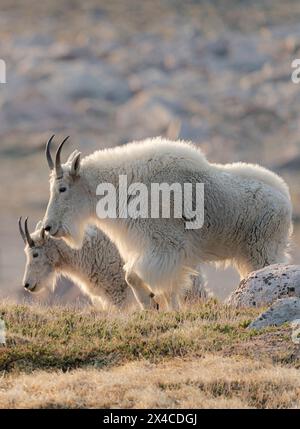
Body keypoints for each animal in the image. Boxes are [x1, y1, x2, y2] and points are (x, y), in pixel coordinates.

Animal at [43, 136, 292, 308]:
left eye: (62, 188)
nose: (48, 227)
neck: (124, 186)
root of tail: (285, 200)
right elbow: (167, 289)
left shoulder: (165, 247)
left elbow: (132, 275)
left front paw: (149, 303)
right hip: (247, 254)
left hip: (262, 248)